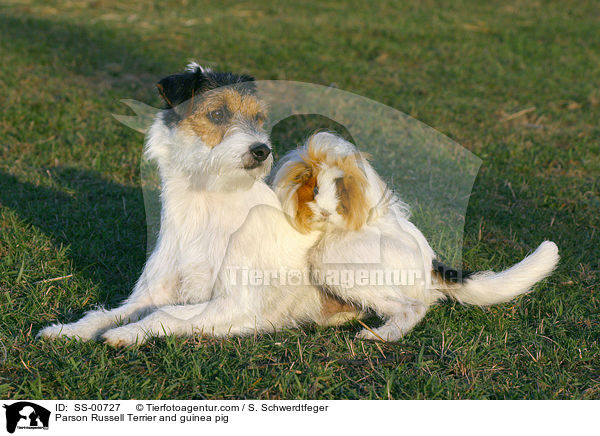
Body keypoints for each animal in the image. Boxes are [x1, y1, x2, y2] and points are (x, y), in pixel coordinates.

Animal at [39, 63, 358, 346]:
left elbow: (164, 314)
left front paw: (127, 334)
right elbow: (105, 314)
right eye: (217, 113)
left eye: (258, 118)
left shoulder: (235, 302)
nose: (262, 151)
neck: (204, 204)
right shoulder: (151, 294)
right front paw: (66, 330)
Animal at [272, 131, 564, 342]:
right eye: (314, 188)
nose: (325, 211)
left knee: (412, 307)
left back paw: (374, 336)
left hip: (334, 263)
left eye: (342, 191)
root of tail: (429, 266)